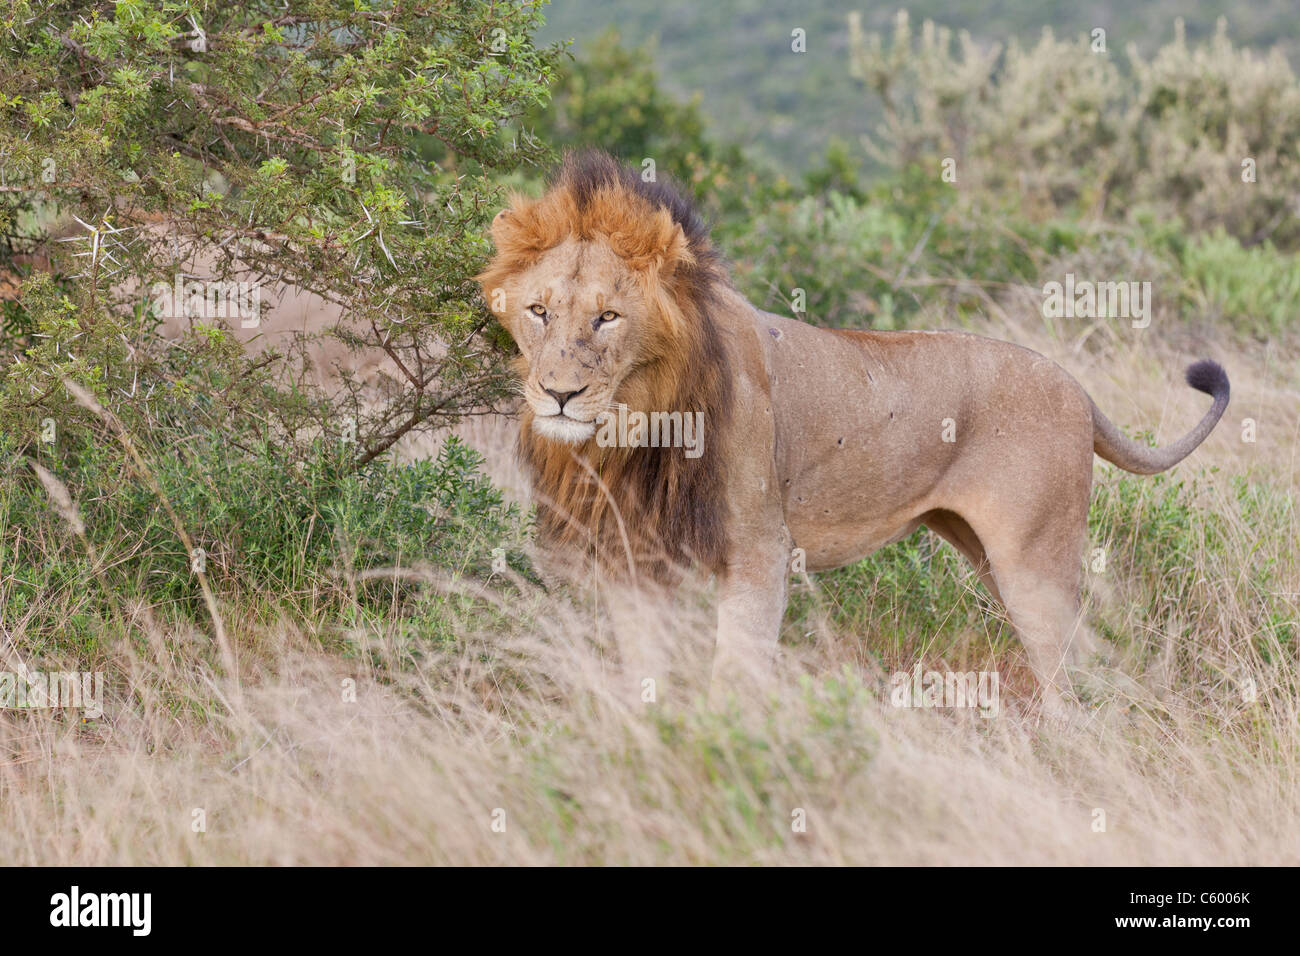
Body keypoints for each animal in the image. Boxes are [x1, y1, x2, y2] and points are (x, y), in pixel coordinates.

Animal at [478, 149, 1227, 712]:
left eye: (607, 317)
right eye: (539, 311)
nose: (560, 394)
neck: (637, 422)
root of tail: (1078, 389)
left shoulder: (759, 550)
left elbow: (736, 678)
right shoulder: (636, 557)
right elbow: (647, 675)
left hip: (1034, 559)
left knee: (1071, 678)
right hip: (986, 553)